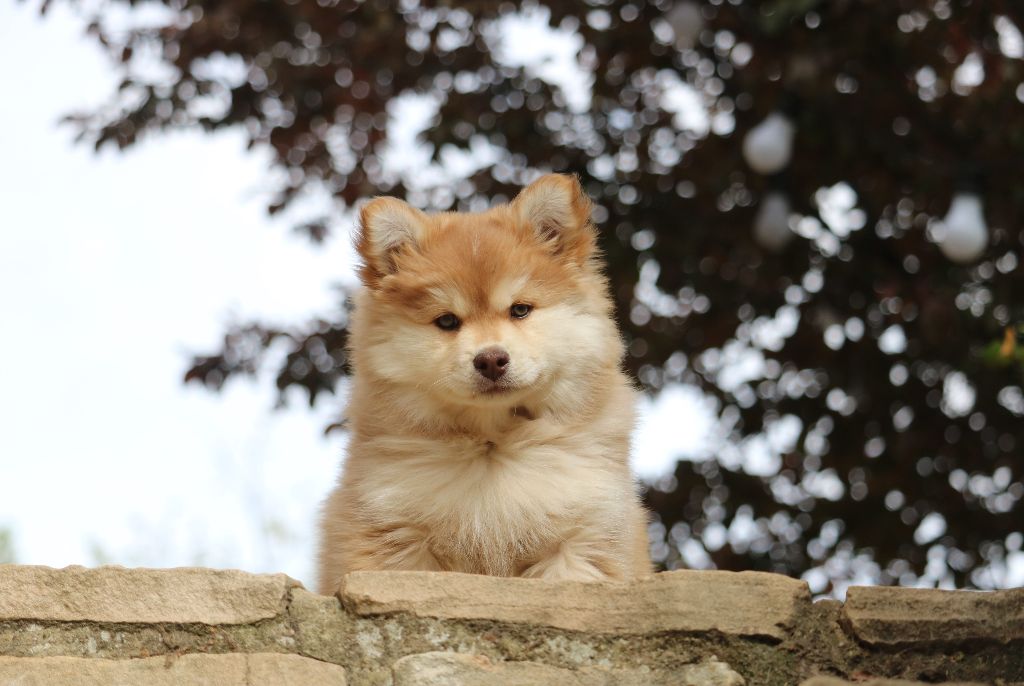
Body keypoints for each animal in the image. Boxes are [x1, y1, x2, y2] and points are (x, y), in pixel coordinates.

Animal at [316, 174, 651, 594]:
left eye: (520, 310)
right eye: (446, 321)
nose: (491, 360)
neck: (492, 446)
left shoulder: (582, 537)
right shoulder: (392, 535)